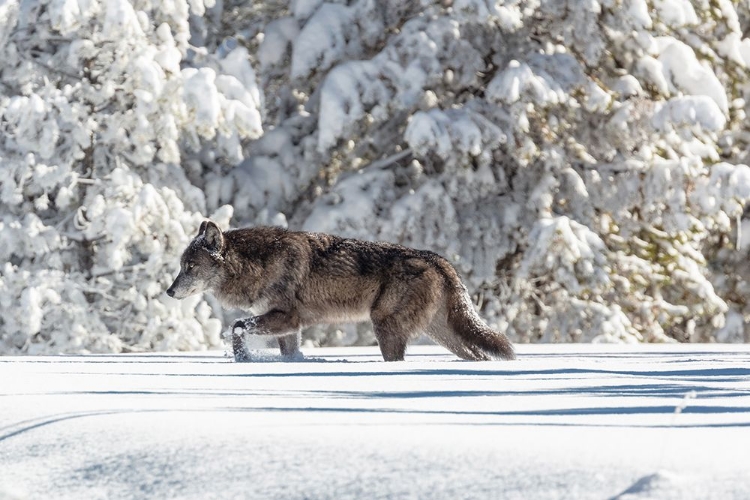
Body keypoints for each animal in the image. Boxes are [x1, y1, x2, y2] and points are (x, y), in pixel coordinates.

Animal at [167, 221, 516, 362]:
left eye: (190, 267)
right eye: (181, 266)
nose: (169, 292)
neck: (256, 264)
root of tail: (438, 259)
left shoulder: (286, 317)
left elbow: (237, 326)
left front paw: (243, 359)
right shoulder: (289, 327)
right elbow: (288, 353)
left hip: (385, 326)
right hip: (442, 335)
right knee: (478, 355)